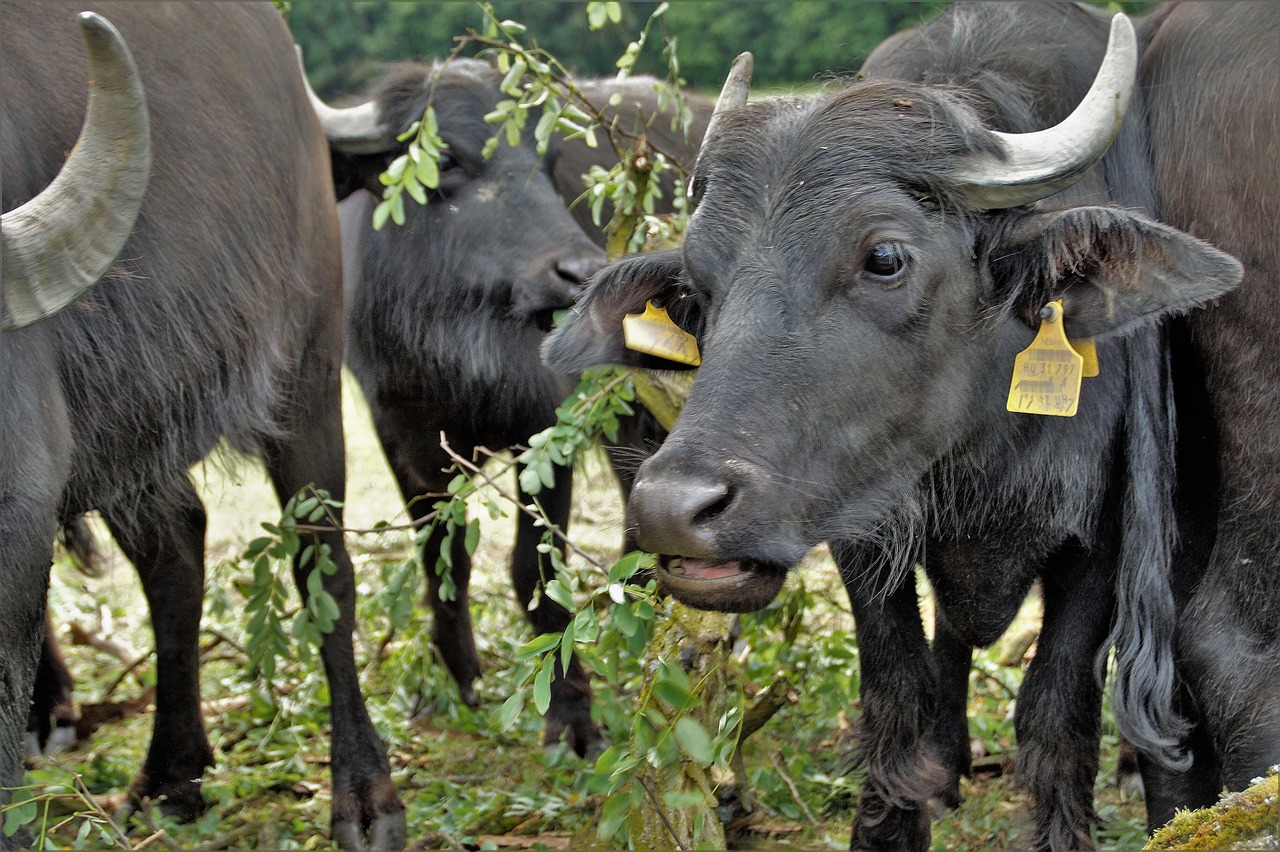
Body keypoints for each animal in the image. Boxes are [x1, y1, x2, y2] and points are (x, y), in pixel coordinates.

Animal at [2, 4, 401, 844]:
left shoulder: (18, 499)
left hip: (307, 369)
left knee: (324, 569)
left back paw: (365, 796)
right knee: (178, 550)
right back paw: (173, 773)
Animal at [303, 56, 711, 752]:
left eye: (547, 162)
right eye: (447, 159)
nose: (580, 271)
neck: (453, 357)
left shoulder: (546, 432)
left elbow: (531, 567)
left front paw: (571, 710)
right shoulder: (402, 436)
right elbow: (444, 556)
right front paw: (458, 675)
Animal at [545, 3, 1274, 844]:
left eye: (886, 257)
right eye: (696, 287)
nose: (672, 509)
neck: (981, 444)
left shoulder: (1099, 541)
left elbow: (1055, 717)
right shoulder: (860, 529)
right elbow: (898, 699)